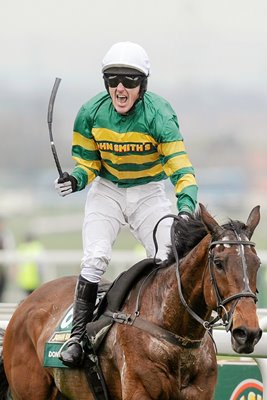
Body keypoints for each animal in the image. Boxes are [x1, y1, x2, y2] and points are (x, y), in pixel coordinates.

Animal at [0, 205, 264, 398]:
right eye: (218, 263)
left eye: (257, 263)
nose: (247, 333)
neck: (175, 332)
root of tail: (25, 303)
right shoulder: (139, 390)